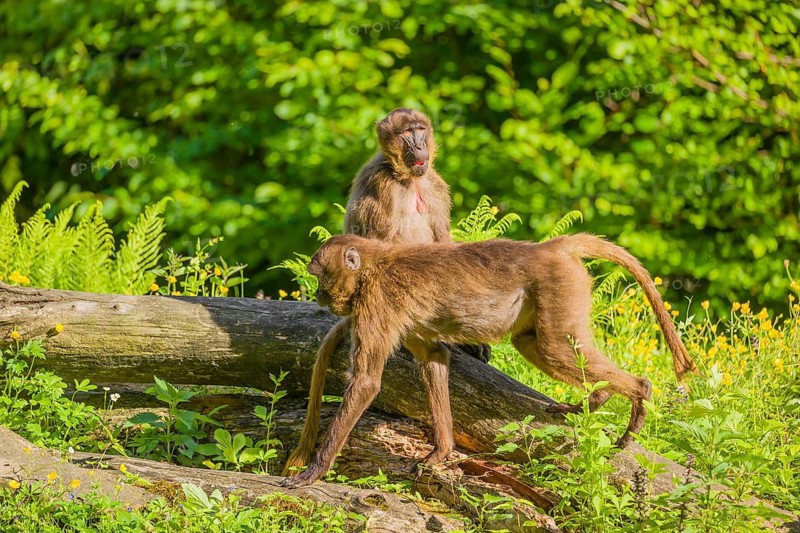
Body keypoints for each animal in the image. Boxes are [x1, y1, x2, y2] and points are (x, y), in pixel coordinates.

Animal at [279, 233, 698, 487]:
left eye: (321, 276)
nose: (318, 296)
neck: (373, 265)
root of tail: (550, 248)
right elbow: (435, 357)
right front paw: (442, 452)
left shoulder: (377, 302)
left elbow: (366, 382)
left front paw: (313, 472)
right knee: (534, 344)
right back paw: (596, 398)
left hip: (559, 285)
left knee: (554, 347)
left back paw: (638, 396)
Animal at [281, 108, 490, 476]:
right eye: (406, 133)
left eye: (420, 129)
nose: (419, 145)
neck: (408, 180)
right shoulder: (379, 182)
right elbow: (378, 240)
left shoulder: (434, 184)